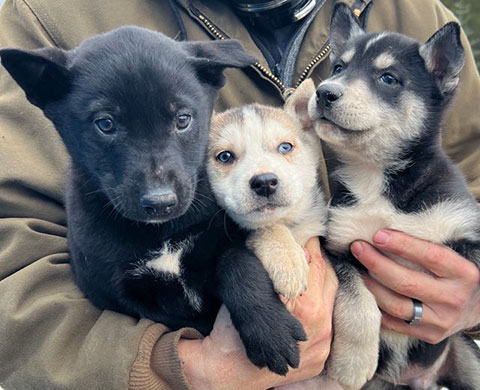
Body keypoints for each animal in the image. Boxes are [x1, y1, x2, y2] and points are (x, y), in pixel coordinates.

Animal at [0, 26, 306, 374]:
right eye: (105, 124)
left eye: (183, 119)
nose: (160, 202)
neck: (162, 233)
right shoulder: (123, 297)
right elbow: (187, 323)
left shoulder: (225, 237)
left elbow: (239, 266)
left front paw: (271, 331)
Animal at [206, 80, 326, 298]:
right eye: (225, 156)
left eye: (285, 147)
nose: (264, 183)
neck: (290, 226)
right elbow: (268, 227)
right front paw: (288, 262)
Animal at [308, 3, 480, 390]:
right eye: (339, 68)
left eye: (388, 79)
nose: (324, 92)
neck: (377, 176)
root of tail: (420, 379)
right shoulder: (339, 245)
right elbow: (358, 300)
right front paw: (353, 361)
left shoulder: (465, 231)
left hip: (466, 354)